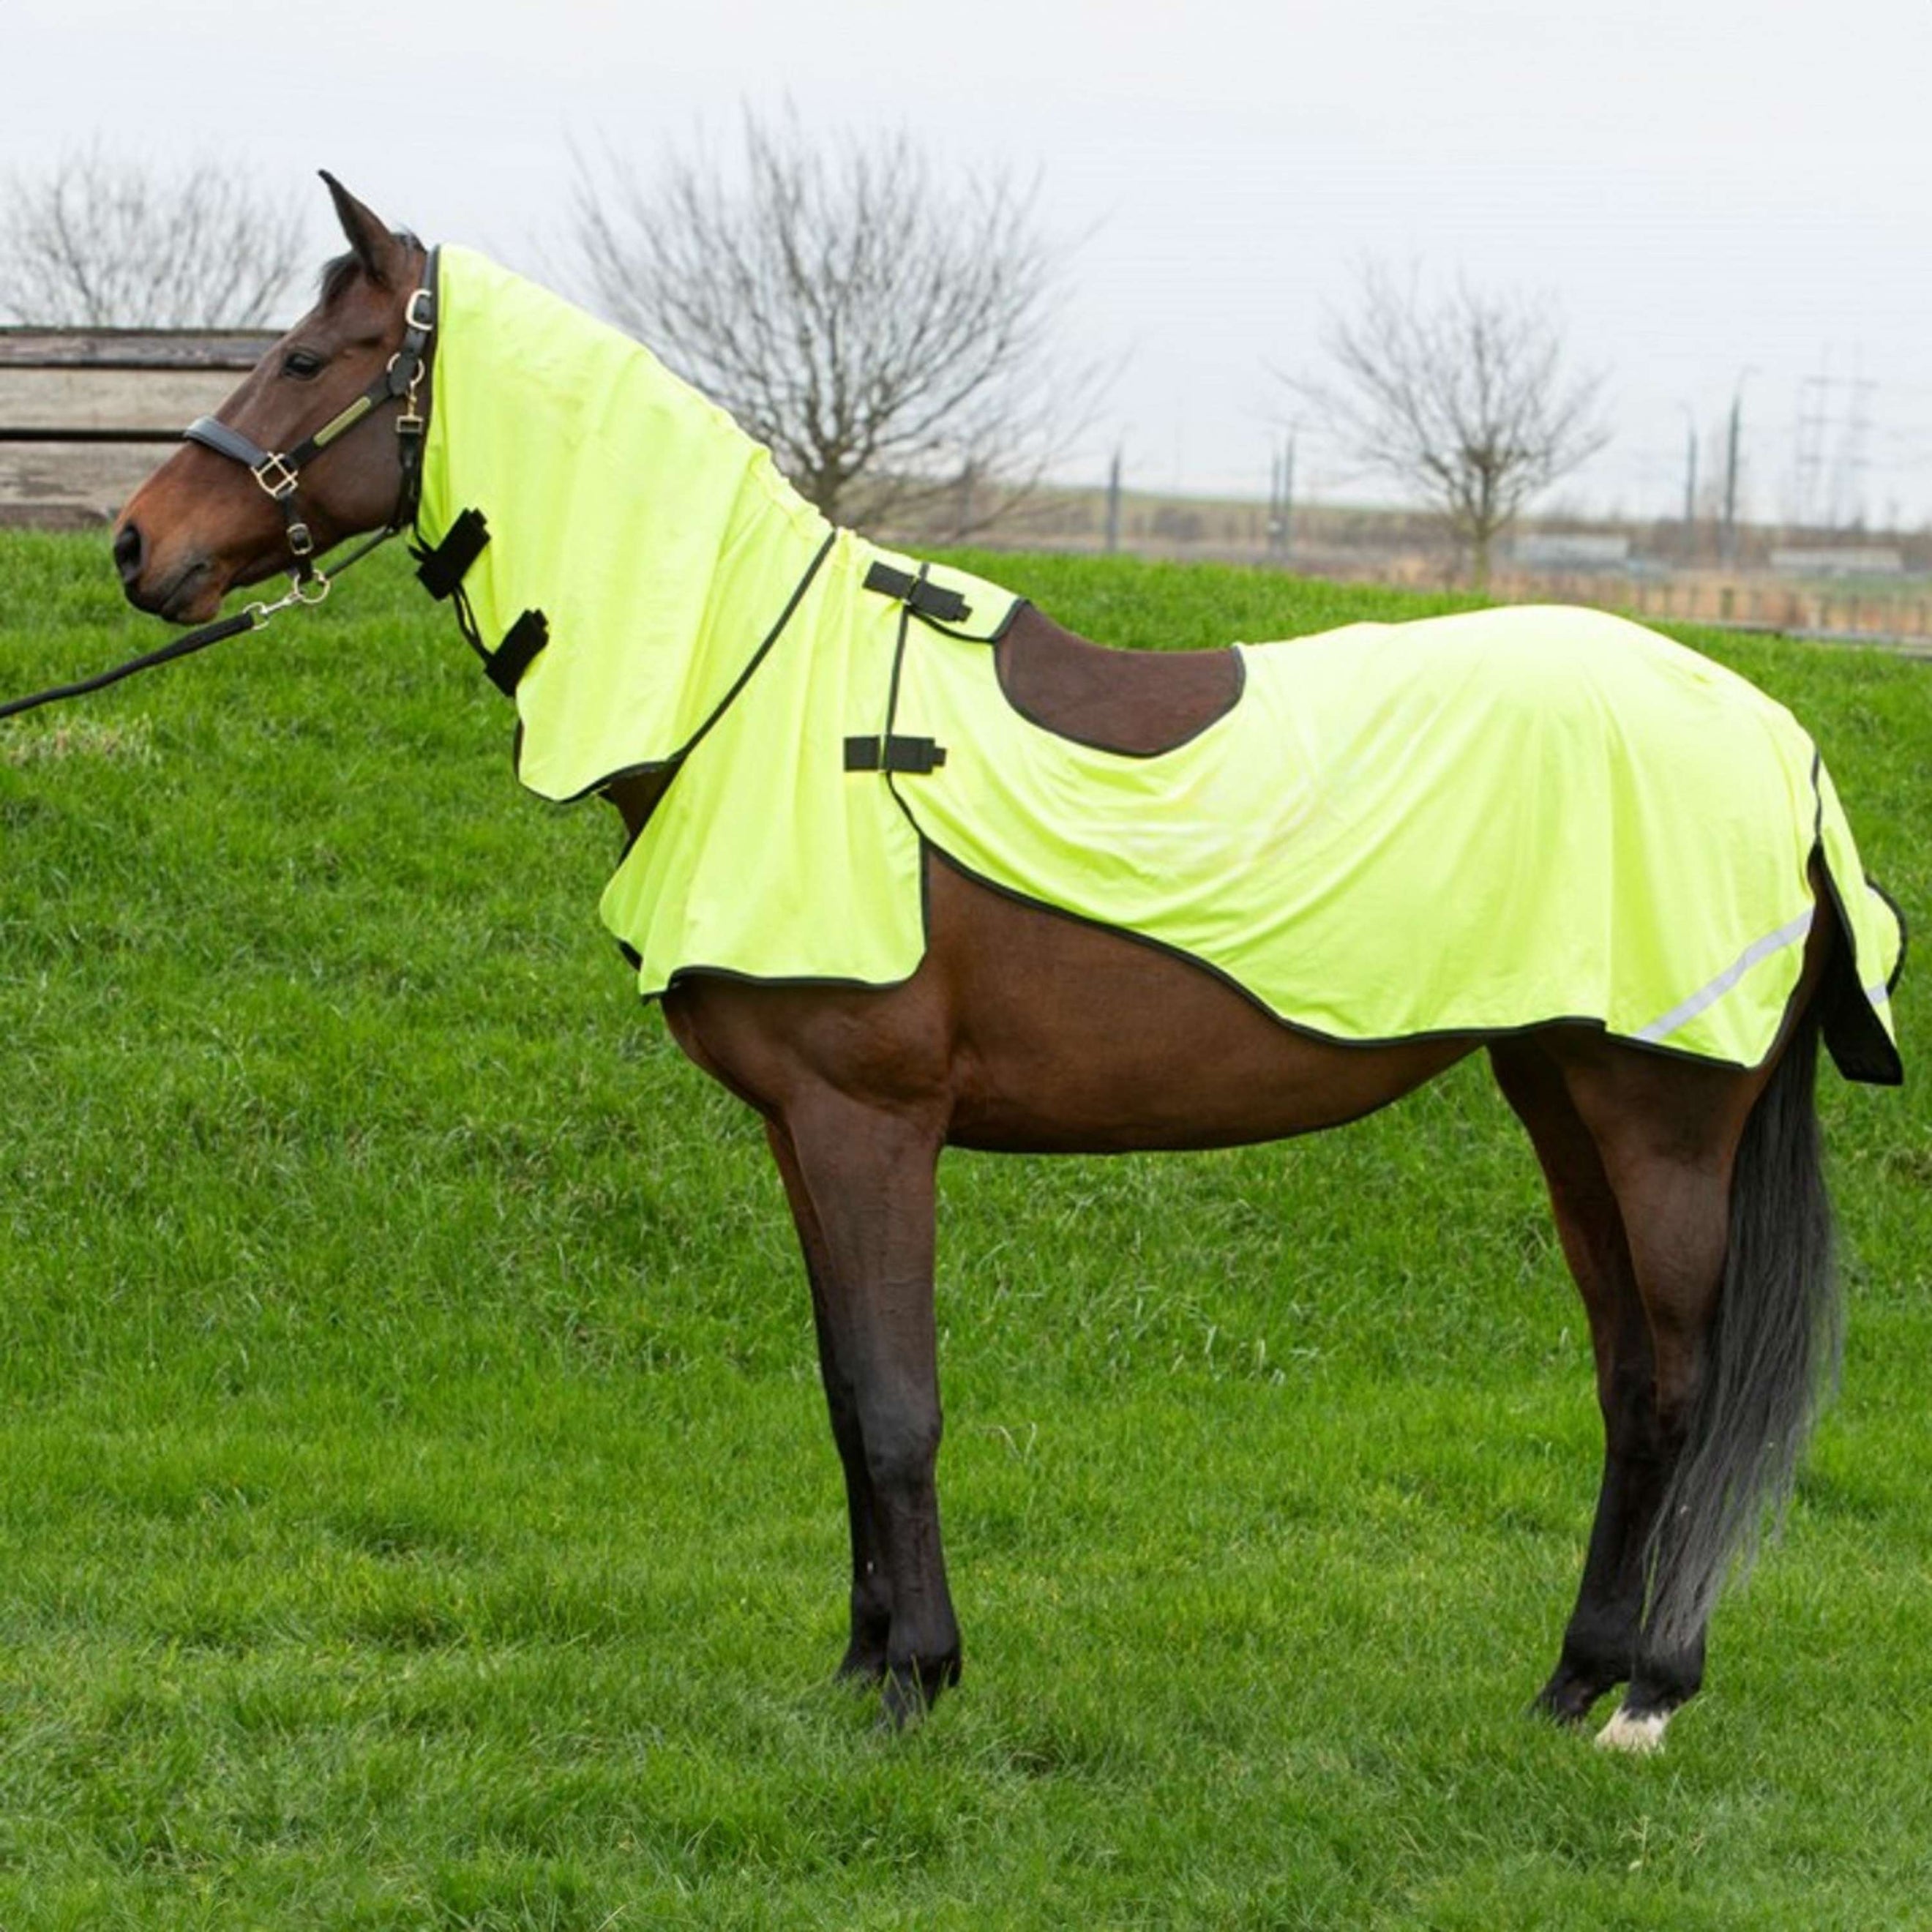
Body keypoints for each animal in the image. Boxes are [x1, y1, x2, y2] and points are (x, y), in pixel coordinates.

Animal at [108, 174, 1903, 1752]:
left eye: (312, 358)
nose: (136, 546)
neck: (752, 685)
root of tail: (1780, 743)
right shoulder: (800, 1133)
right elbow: (846, 1396)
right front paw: (860, 1668)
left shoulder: (869, 1120)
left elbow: (899, 1400)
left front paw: (918, 1683)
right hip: (1558, 1098)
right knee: (1628, 1385)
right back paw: (1569, 1683)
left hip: (1656, 1117)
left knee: (1682, 1389)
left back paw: (1646, 1699)